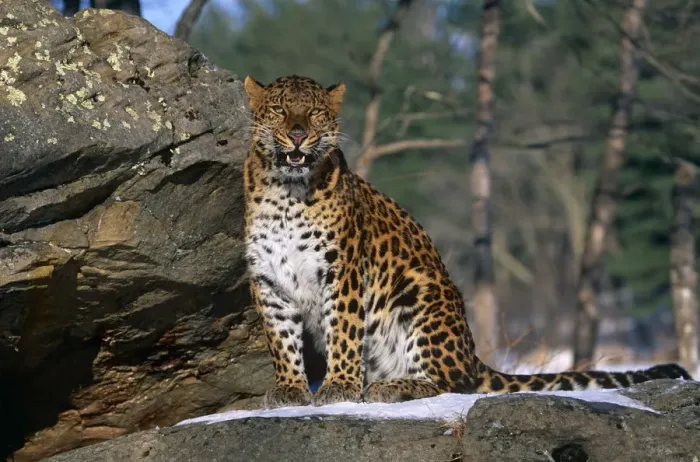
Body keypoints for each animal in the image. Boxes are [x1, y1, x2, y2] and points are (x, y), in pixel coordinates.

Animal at [242, 74, 693, 408]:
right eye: (280, 110)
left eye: (315, 113)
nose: (297, 134)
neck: (288, 191)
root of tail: (473, 356)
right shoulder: (268, 277)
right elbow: (280, 338)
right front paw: (289, 390)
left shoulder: (343, 268)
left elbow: (345, 329)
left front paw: (340, 386)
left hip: (419, 292)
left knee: (452, 383)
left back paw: (391, 386)